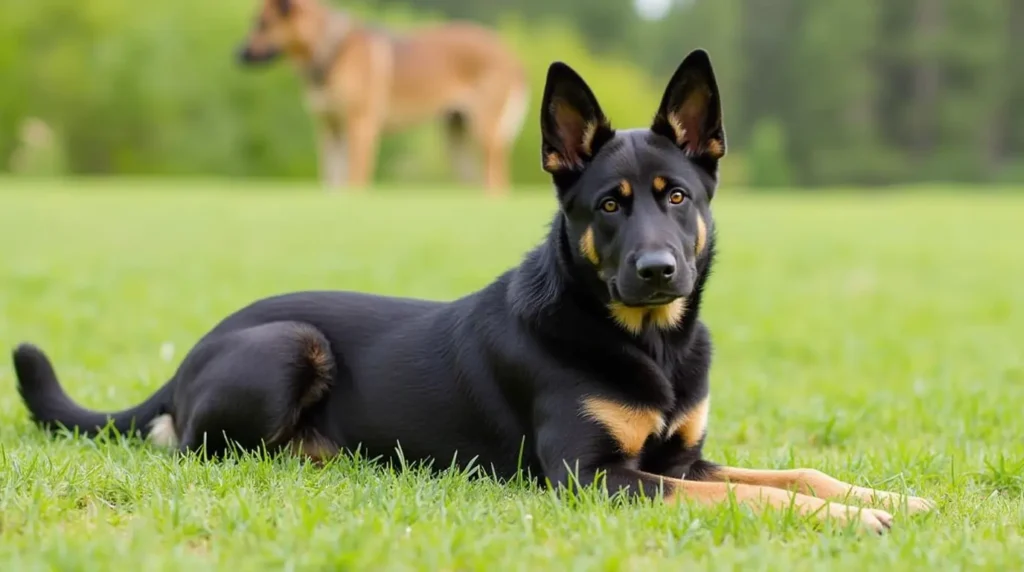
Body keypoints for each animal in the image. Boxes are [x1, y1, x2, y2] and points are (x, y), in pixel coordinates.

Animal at [9, 48, 937, 532]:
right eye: (609, 205)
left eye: (677, 197)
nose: (657, 271)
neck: (646, 339)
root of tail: (184, 362)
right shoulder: (592, 476)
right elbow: (740, 495)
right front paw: (853, 522)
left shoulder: (680, 454)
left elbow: (794, 474)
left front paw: (885, 496)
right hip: (291, 342)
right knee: (195, 443)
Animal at [236, 0, 532, 194]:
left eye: (262, 24)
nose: (236, 55)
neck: (333, 50)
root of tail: (513, 57)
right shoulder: (329, 128)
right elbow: (332, 179)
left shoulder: (360, 126)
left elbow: (354, 178)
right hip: (456, 137)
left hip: (485, 134)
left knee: (498, 183)